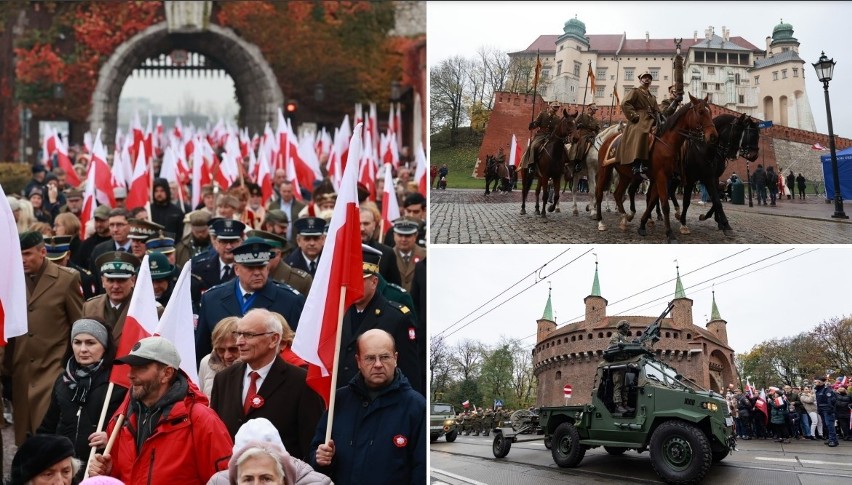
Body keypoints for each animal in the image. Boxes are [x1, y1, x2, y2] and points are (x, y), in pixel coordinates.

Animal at [592, 93, 720, 241]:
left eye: (710, 112)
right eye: (700, 112)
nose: (713, 136)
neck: (666, 142)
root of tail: (607, 139)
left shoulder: (662, 178)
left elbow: (652, 201)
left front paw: (642, 225)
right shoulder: (661, 177)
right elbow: (664, 204)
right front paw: (670, 233)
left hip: (625, 175)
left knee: (618, 194)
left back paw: (624, 219)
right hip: (604, 169)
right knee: (599, 192)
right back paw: (601, 221)